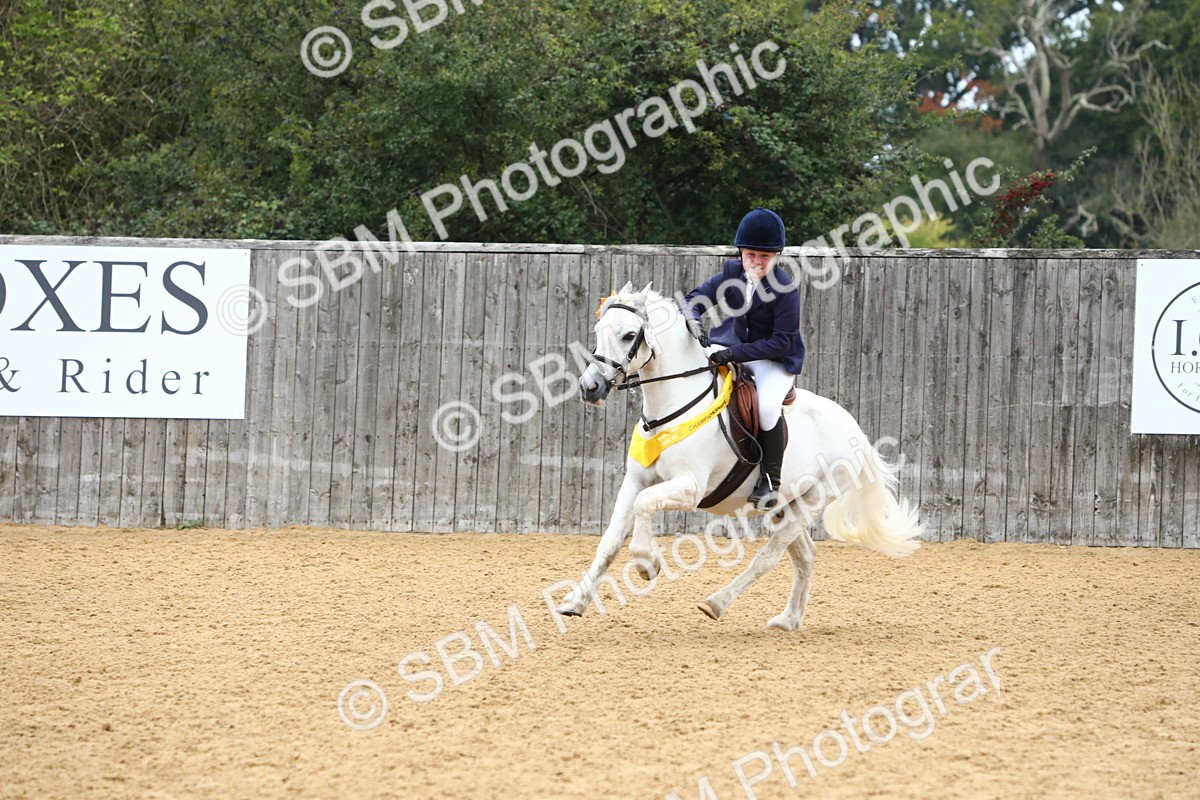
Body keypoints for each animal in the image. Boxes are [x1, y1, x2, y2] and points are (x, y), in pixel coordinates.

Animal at [554, 282, 923, 631]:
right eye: (598, 331)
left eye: (630, 335)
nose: (590, 388)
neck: (672, 404)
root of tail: (856, 431)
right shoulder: (636, 480)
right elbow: (610, 542)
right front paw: (574, 602)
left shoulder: (689, 487)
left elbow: (645, 505)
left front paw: (647, 564)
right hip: (786, 505)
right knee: (805, 556)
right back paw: (788, 620)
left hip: (811, 502)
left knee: (768, 557)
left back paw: (716, 603)